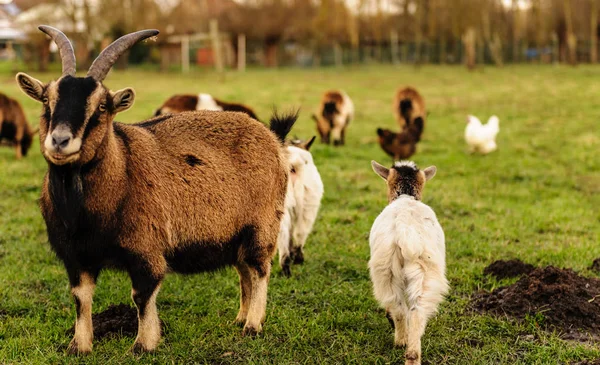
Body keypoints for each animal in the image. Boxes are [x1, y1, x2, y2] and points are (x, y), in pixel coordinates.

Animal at [15, 24, 294, 352]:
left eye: (102, 106)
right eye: (47, 101)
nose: (59, 141)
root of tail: (272, 138)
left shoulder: (146, 249)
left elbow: (142, 296)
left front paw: (143, 344)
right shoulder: (75, 255)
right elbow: (81, 299)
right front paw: (79, 346)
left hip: (262, 224)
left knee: (260, 269)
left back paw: (252, 325)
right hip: (234, 234)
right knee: (244, 271)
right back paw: (240, 318)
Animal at [368, 160, 448, 364]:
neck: (405, 197)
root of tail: (405, 228)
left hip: (386, 268)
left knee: (399, 307)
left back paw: (401, 342)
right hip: (421, 270)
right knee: (414, 311)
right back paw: (410, 351)